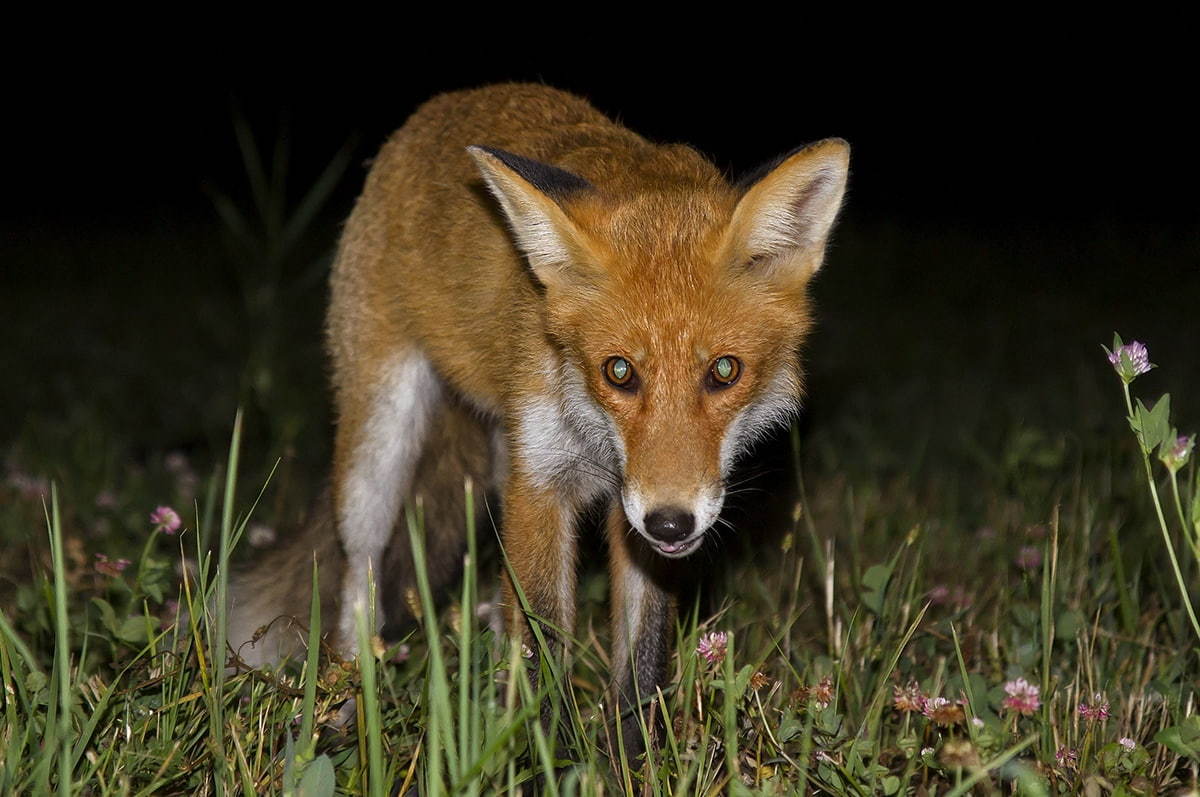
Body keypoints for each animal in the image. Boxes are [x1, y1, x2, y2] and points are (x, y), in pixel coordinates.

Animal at [226, 82, 844, 758]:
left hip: (500, 453)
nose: (672, 522)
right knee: (357, 570)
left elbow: (642, 654)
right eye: (619, 371)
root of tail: (447, 104)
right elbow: (544, 638)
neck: (598, 436)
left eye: (725, 371)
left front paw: (628, 759)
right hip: (380, 448)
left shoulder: (627, 504)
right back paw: (346, 700)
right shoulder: (544, 479)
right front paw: (538, 755)